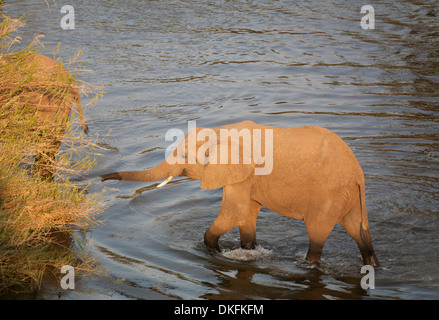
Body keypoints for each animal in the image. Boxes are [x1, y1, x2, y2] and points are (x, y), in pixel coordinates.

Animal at [99, 121, 378, 266]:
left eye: (186, 157)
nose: (102, 177)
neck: (220, 132)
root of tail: (358, 173)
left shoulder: (242, 172)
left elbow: (235, 212)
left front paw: (217, 252)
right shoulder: (248, 177)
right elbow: (247, 214)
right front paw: (248, 250)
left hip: (328, 192)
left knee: (317, 231)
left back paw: (308, 264)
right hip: (349, 195)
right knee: (358, 230)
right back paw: (372, 265)